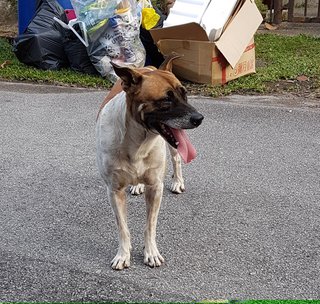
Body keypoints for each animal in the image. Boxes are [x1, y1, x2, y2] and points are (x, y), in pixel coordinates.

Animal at [96, 53, 204, 270]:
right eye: (166, 99)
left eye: (185, 94)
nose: (199, 118)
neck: (138, 141)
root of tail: (149, 66)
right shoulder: (114, 191)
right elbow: (123, 227)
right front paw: (123, 254)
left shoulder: (155, 187)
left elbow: (150, 225)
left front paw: (151, 252)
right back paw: (137, 185)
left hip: (173, 147)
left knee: (177, 158)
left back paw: (177, 181)